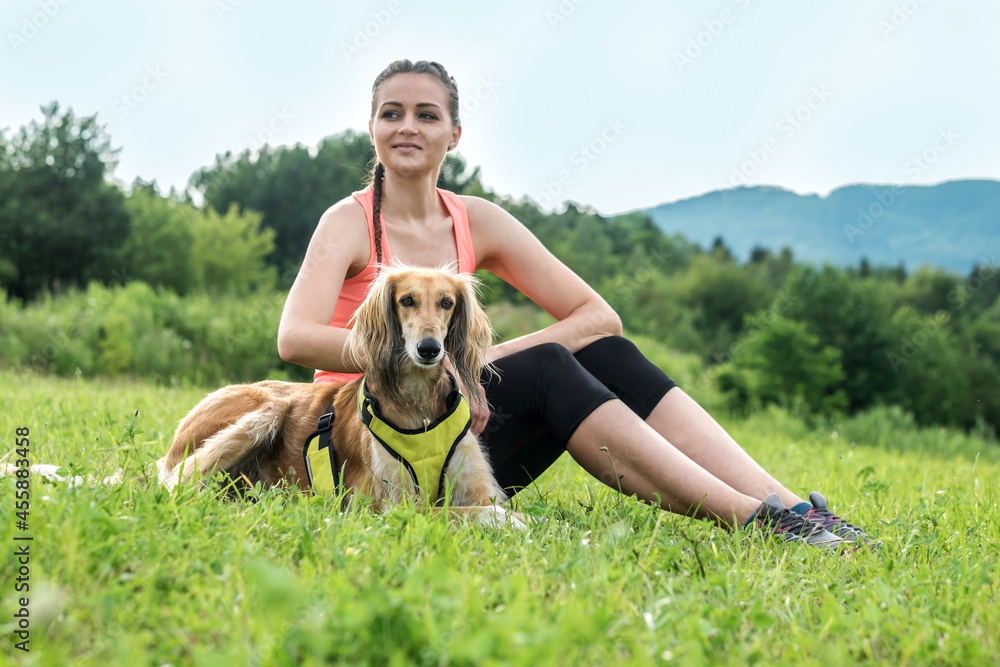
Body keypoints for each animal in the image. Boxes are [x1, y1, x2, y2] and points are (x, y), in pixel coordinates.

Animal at [156, 266, 524, 528]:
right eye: (407, 300)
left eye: (447, 303)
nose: (429, 349)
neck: (418, 404)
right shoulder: (387, 506)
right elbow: (474, 514)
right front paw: (508, 522)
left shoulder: (478, 488)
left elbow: (513, 513)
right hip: (266, 410)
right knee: (176, 485)